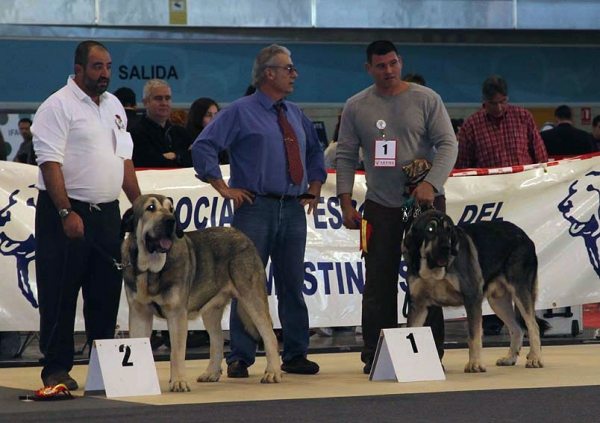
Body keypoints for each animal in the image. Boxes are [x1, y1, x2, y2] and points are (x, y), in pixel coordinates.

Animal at [122, 194, 284, 392]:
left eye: (171, 209)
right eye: (150, 208)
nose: (171, 221)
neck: (150, 270)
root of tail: (243, 236)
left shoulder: (176, 315)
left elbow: (177, 353)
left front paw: (178, 381)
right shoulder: (139, 314)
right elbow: (138, 346)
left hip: (252, 299)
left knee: (269, 336)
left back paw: (273, 372)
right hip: (211, 310)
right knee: (217, 341)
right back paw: (211, 373)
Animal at [404, 210, 548, 372]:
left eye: (448, 230)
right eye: (430, 229)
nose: (447, 248)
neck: (432, 270)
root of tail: (525, 236)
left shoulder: (472, 299)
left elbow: (473, 336)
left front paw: (475, 363)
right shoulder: (418, 306)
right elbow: (410, 329)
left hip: (520, 291)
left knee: (532, 326)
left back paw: (535, 358)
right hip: (498, 302)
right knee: (517, 328)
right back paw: (510, 358)